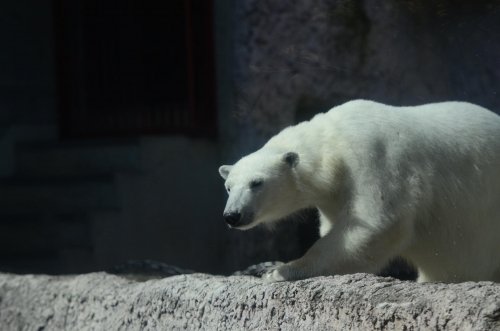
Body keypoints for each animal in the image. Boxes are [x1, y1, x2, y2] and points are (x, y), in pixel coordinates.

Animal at [221, 100, 500, 284]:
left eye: (257, 182)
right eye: (228, 186)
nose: (232, 215)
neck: (333, 141)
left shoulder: (374, 156)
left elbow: (375, 224)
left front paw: (280, 270)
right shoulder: (334, 194)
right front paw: (263, 266)